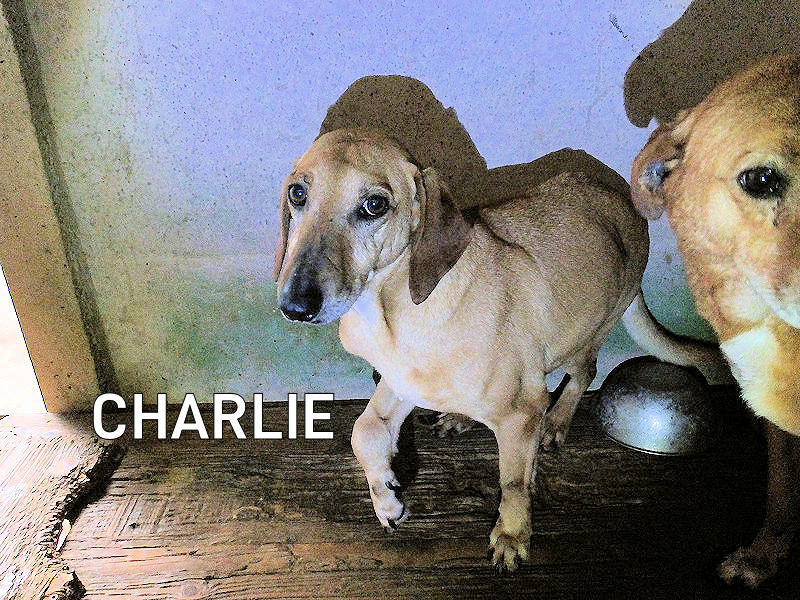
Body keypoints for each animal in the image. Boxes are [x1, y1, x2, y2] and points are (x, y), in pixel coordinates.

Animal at [274, 128, 726, 572]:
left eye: (374, 205)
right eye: (298, 193)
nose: (295, 307)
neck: (392, 309)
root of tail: (625, 201)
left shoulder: (520, 413)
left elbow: (512, 482)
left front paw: (511, 535)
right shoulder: (401, 382)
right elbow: (362, 431)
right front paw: (386, 499)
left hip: (585, 334)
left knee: (584, 373)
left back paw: (556, 421)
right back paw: (461, 417)